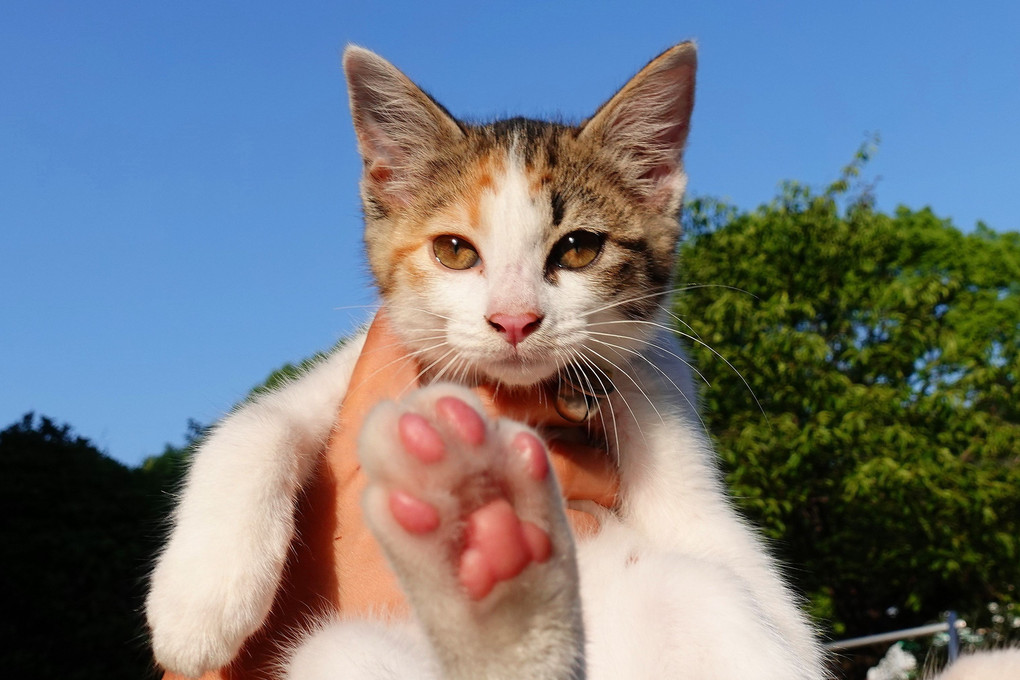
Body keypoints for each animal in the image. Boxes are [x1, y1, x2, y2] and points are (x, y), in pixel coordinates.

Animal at [145, 45, 828, 676]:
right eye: (453, 250)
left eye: (579, 248)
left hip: (690, 596)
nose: (515, 319)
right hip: (348, 651)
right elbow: (257, 422)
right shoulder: (363, 365)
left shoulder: (660, 389)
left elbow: (758, 586)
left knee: (708, 589)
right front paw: (197, 604)